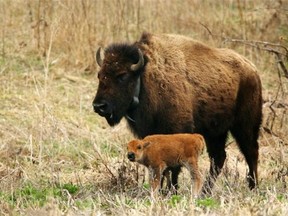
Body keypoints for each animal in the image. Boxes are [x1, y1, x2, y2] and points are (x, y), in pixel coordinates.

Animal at [93, 32, 264, 194]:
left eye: (122, 75)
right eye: (100, 75)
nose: (99, 106)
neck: (145, 77)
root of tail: (252, 70)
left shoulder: (176, 132)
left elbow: (173, 166)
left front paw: (171, 190)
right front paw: (162, 189)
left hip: (245, 126)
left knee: (251, 151)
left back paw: (253, 187)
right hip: (215, 132)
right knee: (219, 157)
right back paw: (206, 191)